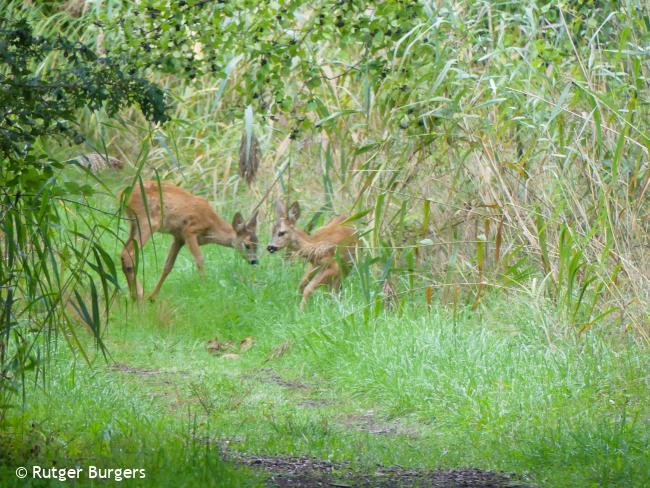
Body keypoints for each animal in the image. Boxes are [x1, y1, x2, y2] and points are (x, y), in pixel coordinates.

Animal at [120, 179, 256, 302]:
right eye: (247, 245)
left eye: (257, 244)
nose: (255, 261)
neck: (212, 227)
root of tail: (124, 194)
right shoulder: (189, 230)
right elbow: (200, 259)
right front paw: (204, 288)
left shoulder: (178, 238)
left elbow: (168, 266)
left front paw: (152, 297)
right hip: (148, 222)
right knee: (128, 254)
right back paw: (138, 295)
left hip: (134, 225)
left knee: (122, 253)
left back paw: (135, 294)